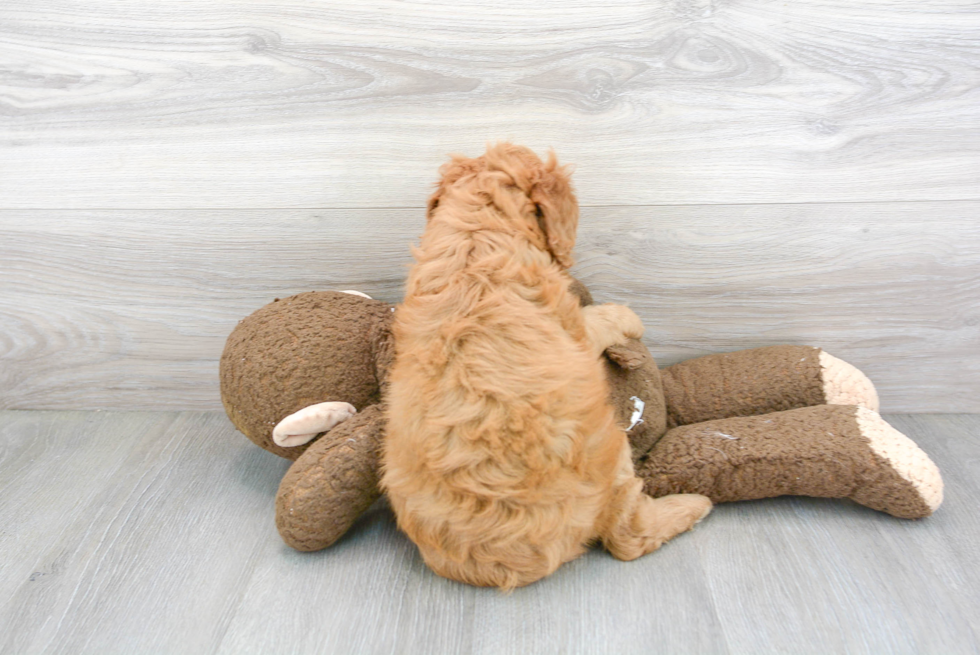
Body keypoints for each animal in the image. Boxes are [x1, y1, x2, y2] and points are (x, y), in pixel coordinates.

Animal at [382, 145, 712, 596]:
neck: (476, 233)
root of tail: (503, 564)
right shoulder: (573, 326)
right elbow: (601, 318)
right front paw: (629, 316)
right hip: (609, 450)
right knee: (628, 536)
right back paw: (693, 505)